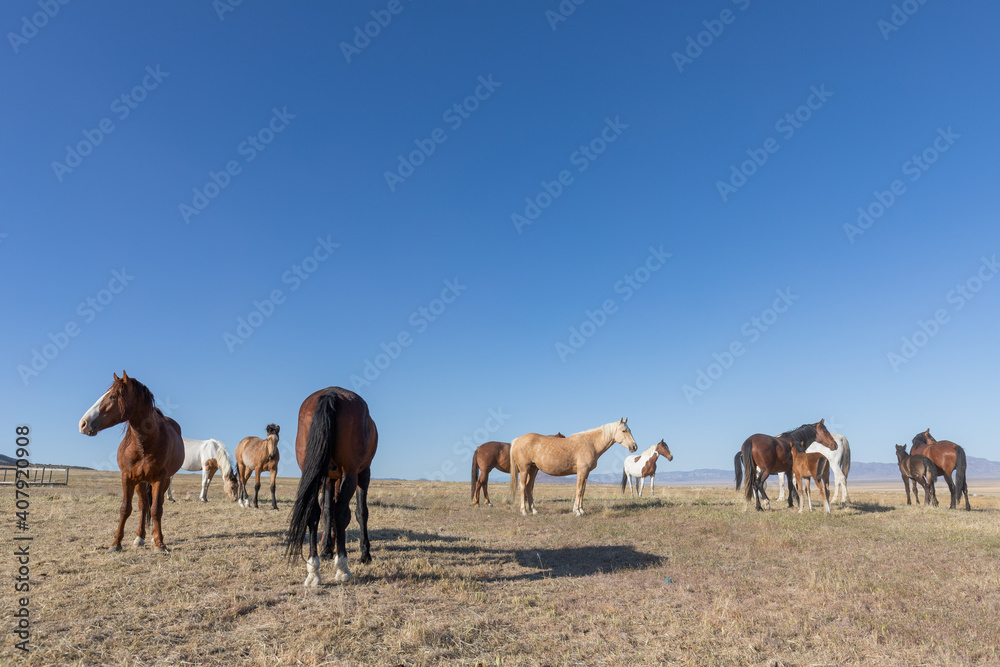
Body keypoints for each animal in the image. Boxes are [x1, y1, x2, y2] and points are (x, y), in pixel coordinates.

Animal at [78, 371, 184, 552]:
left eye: (113, 396)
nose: (83, 424)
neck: (143, 444)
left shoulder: (159, 478)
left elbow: (156, 510)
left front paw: (160, 544)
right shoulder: (127, 477)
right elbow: (125, 509)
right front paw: (116, 543)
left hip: (163, 481)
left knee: (156, 505)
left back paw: (153, 537)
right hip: (140, 482)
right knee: (143, 505)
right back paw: (139, 537)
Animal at [286, 386, 377, 586]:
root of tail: (332, 394)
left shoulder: (328, 479)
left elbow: (327, 511)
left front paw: (327, 549)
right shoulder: (363, 473)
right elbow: (361, 512)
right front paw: (365, 553)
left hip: (316, 472)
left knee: (313, 512)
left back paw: (313, 570)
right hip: (351, 474)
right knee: (341, 512)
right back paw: (342, 567)